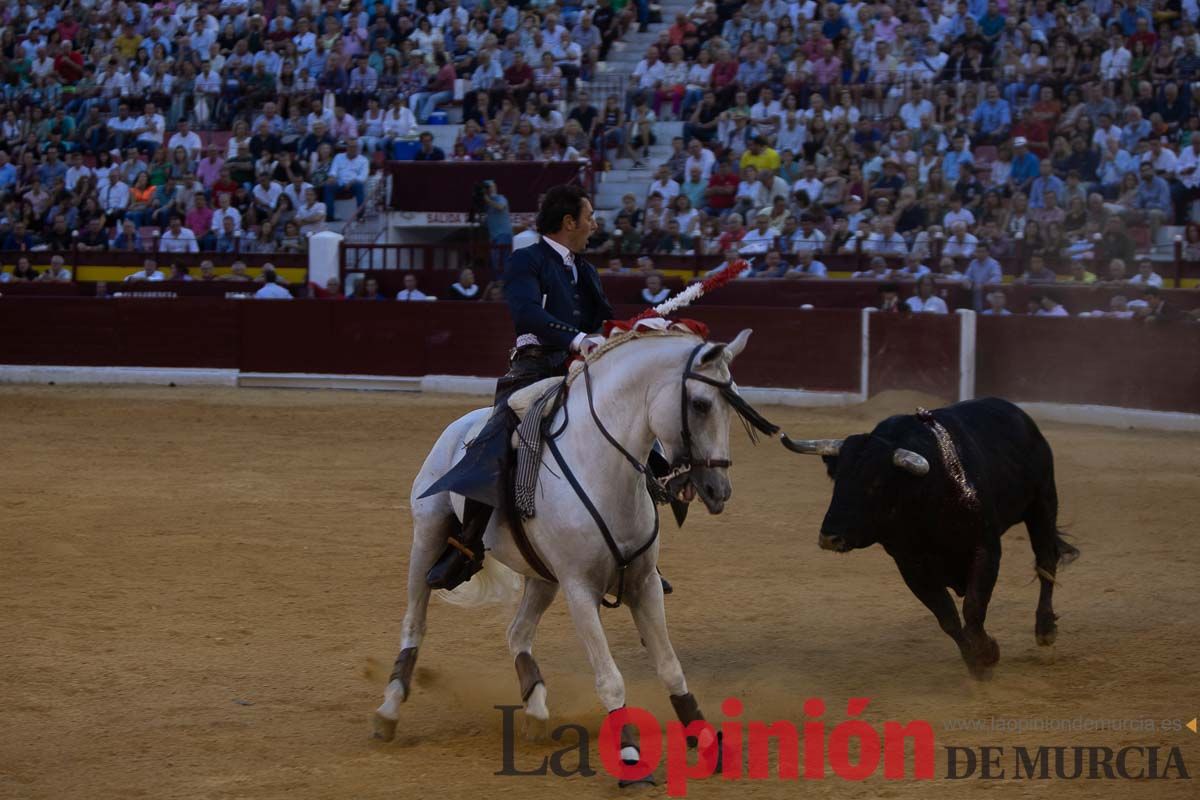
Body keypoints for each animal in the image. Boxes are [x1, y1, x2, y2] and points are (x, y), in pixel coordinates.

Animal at [372, 326, 758, 782]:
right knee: (415, 622)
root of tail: (460, 426)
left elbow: (669, 665)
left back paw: (537, 712)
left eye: (733, 402)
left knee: (518, 632)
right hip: (428, 536)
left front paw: (707, 742)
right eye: (700, 404)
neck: (604, 468)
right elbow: (609, 677)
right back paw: (389, 710)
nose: (719, 491)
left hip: (542, 577)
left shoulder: (644, 584)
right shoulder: (579, 590)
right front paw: (630, 756)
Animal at [782, 398, 1084, 681]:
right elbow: (947, 617)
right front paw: (977, 662)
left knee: (1046, 561)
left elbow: (973, 607)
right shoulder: (910, 565)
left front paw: (987, 653)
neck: (925, 494)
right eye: (837, 479)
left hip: (1042, 504)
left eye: (876, 483)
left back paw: (1045, 629)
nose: (829, 537)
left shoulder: (985, 548)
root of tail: (1019, 415)